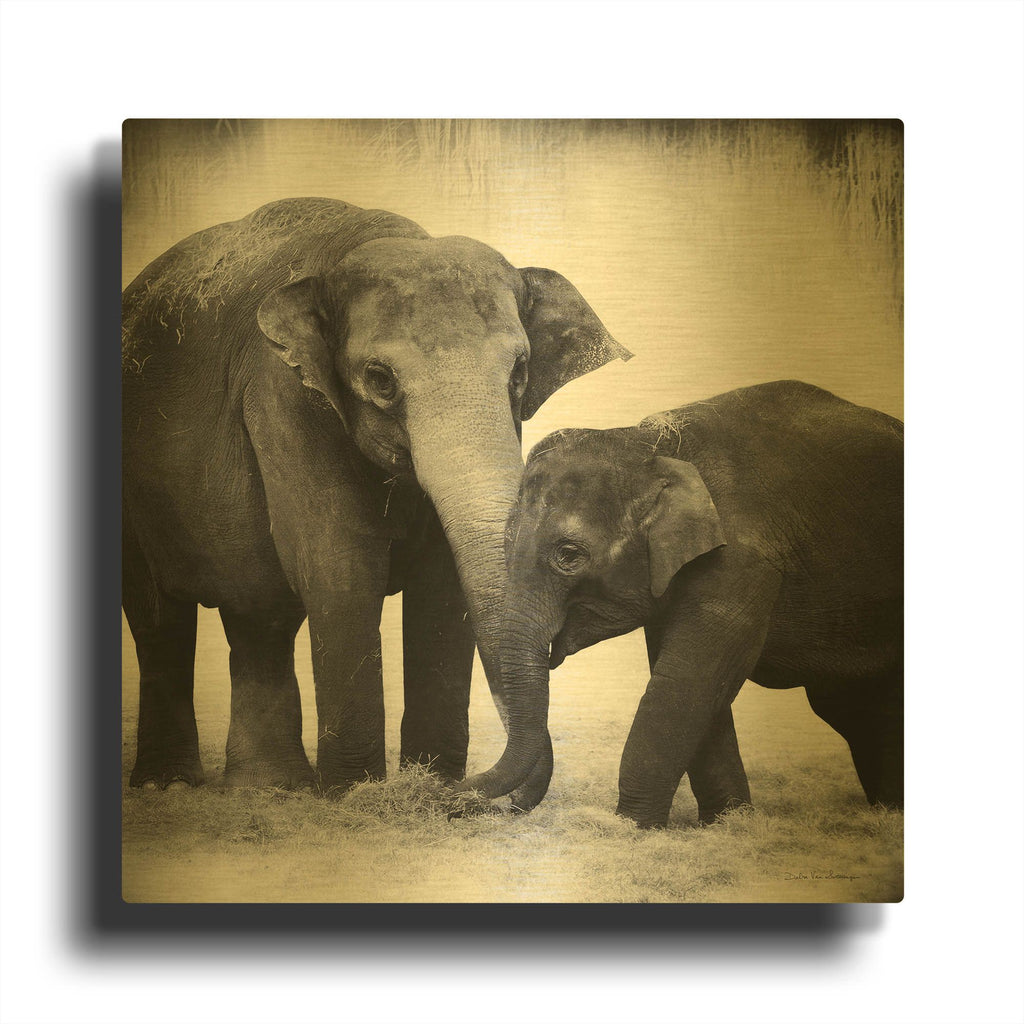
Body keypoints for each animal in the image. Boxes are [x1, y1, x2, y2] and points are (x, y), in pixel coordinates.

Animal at [122, 197, 630, 799]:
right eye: (380, 379)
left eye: (520, 373)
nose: (473, 792)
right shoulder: (284, 396)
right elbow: (340, 569)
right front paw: (355, 795)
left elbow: (444, 584)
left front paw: (428, 784)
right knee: (159, 619)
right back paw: (170, 786)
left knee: (257, 616)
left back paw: (270, 789)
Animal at [459, 380, 903, 827]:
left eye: (569, 555)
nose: (456, 795)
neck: (654, 444)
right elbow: (695, 685)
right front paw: (726, 823)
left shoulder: (741, 559)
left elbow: (685, 681)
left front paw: (631, 825)